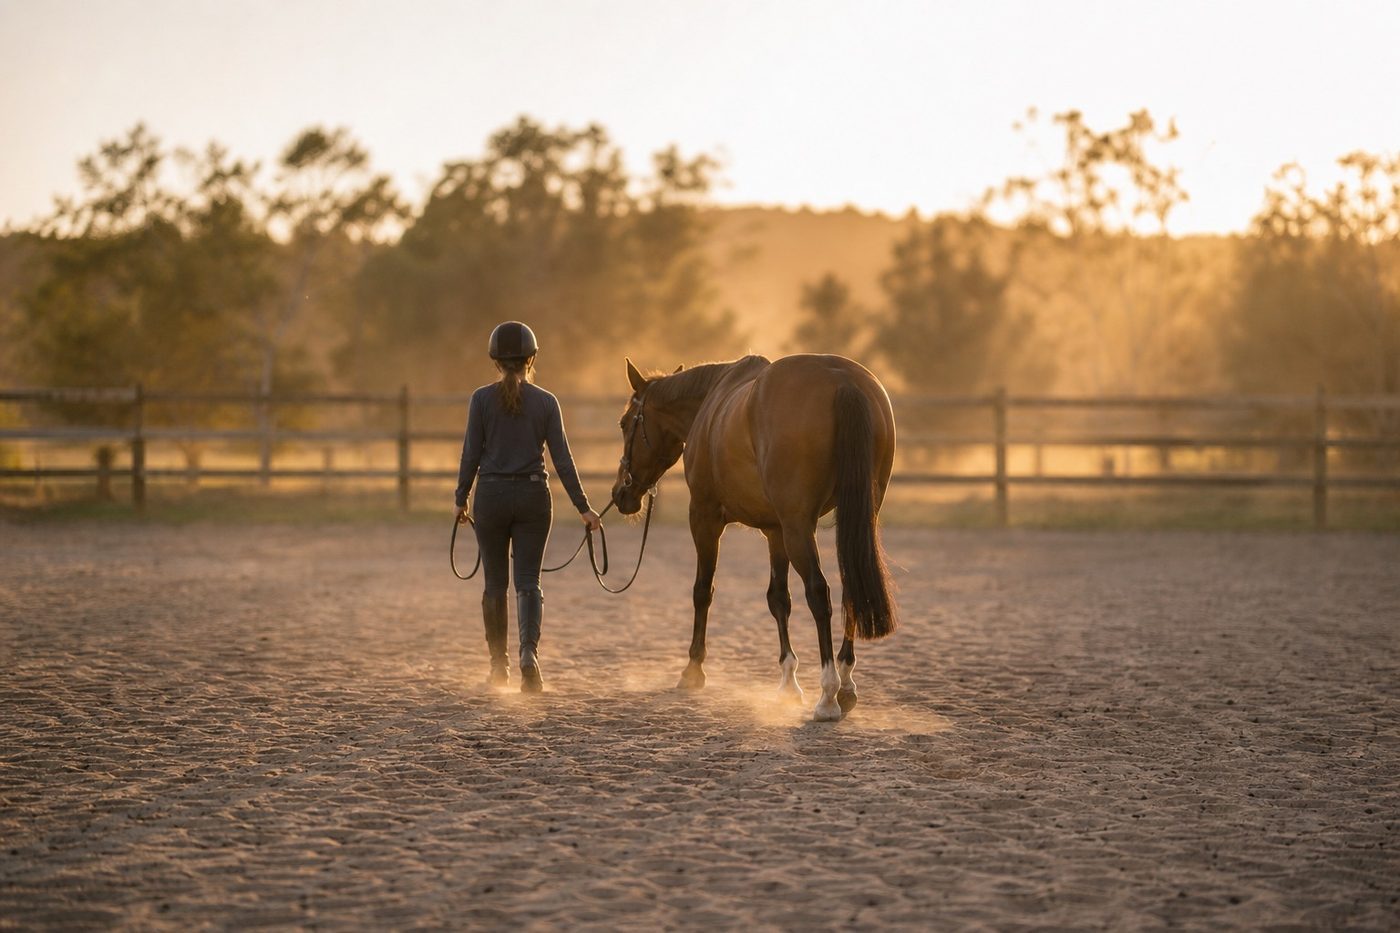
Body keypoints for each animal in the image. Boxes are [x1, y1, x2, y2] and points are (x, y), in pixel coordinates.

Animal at [610, 353, 898, 721]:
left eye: (625, 423)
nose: (621, 494)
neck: (710, 405)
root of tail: (843, 381)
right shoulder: (775, 530)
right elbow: (778, 600)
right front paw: (788, 683)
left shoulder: (704, 517)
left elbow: (702, 591)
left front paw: (693, 670)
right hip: (850, 518)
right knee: (851, 589)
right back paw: (845, 684)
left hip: (798, 527)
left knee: (819, 594)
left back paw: (828, 695)